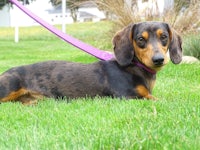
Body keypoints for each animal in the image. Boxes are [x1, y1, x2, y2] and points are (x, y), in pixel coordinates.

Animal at [0, 21, 182, 104]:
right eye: (140, 39)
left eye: (164, 37)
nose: (159, 59)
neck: (134, 67)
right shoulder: (128, 96)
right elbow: (160, 99)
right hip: (9, 88)